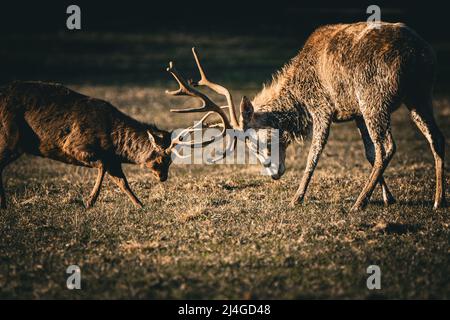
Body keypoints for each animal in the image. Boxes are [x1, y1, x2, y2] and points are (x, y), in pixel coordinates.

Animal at [0, 81, 203, 209]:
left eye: (171, 161)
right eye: (162, 159)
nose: (163, 178)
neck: (115, 145)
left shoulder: (113, 159)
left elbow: (123, 181)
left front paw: (141, 205)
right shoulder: (73, 146)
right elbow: (103, 166)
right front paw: (89, 201)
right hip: (10, 136)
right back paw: (4, 204)